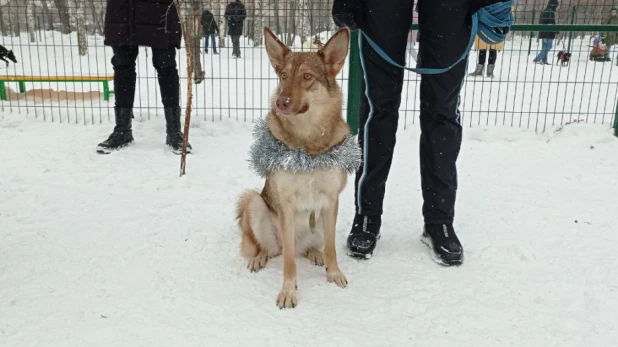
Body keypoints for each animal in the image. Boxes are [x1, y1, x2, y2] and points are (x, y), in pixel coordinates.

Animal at [236, 27, 352, 310]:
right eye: (284, 76)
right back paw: (260, 257)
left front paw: (334, 274)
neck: (307, 145)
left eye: (307, 77)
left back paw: (314, 253)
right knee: (274, 249)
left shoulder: (331, 201)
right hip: (254, 202)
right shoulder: (286, 205)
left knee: (313, 247)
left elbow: (332, 248)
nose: (281, 102)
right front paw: (288, 292)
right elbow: (289, 260)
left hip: (319, 222)